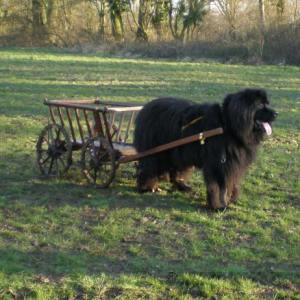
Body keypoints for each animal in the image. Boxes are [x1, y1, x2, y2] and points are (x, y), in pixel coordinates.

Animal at [134, 88, 276, 209]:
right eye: (260, 105)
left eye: (266, 103)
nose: (276, 113)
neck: (227, 125)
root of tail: (145, 108)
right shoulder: (216, 162)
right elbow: (216, 185)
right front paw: (217, 205)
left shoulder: (233, 163)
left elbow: (231, 181)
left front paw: (230, 199)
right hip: (155, 149)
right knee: (149, 166)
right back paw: (147, 187)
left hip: (177, 151)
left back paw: (181, 185)